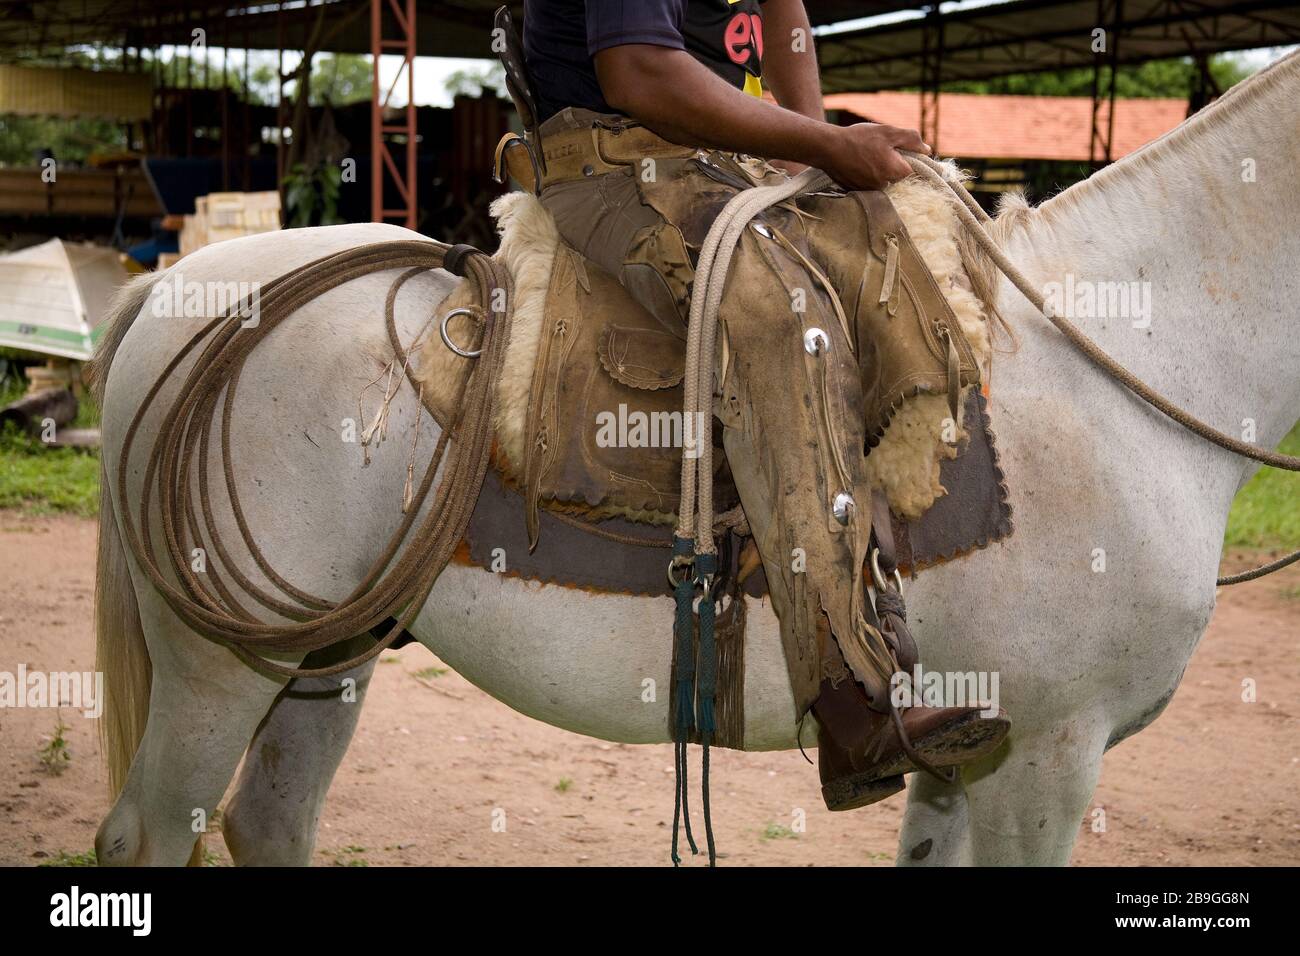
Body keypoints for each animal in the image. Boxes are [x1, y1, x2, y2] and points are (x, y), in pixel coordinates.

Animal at [94, 52, 1300, 868]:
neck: (1128, 362)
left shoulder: (974, 763)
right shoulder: (1048, 751)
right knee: (146, 837)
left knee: (266, 818)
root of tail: (170, 287)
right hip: (217, 662)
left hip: (329, 651)